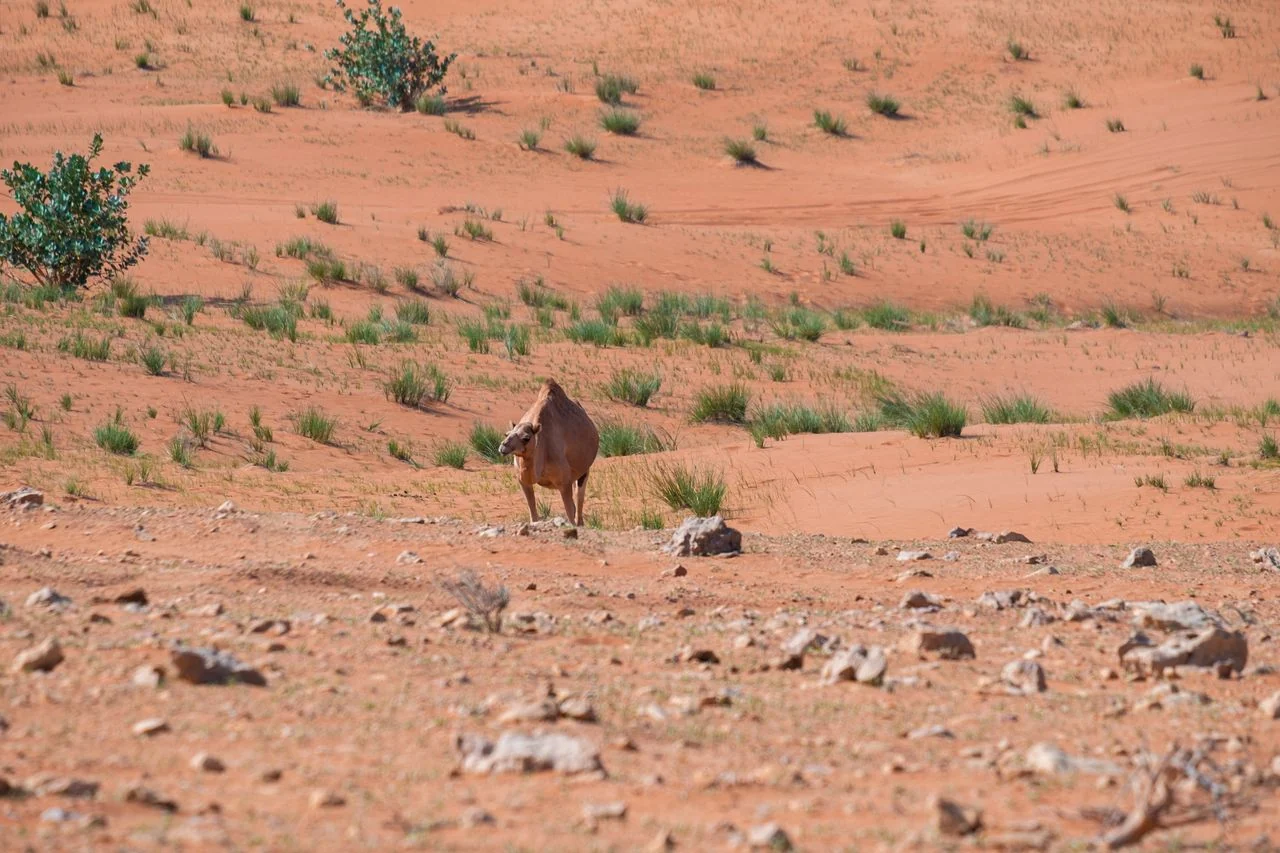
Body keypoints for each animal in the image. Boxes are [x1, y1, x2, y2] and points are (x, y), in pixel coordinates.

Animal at [498, 379, 599, 526]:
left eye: (526, 438)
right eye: (507, 434)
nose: (503, 446)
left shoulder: (564, 482)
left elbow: (569, 512)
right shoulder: (523, 481)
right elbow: (533, 514)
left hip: (584, 470)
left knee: (579, 497)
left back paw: (580, 522)